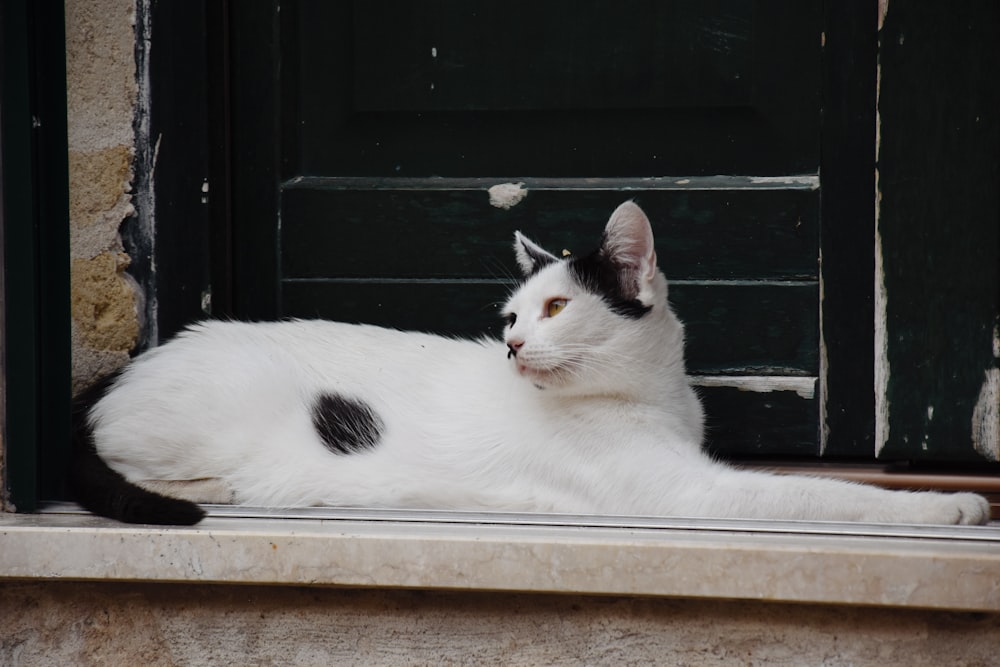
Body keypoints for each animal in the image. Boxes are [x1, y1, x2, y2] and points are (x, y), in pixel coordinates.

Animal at [72, 201, 992, 524]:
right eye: (513, 317)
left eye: (551, 310)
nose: (513, 344)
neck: (652, 396)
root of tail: (125, 367)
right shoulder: (696, 492)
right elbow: (826, 491)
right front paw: (949, 509)